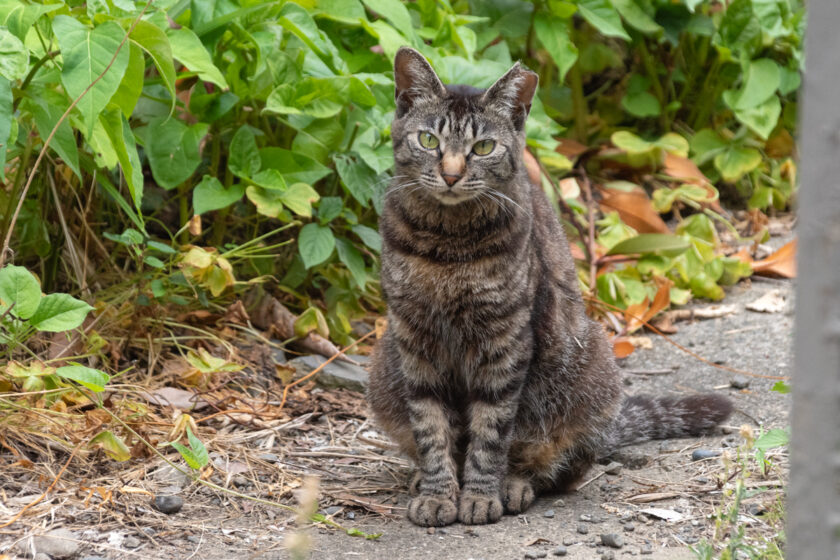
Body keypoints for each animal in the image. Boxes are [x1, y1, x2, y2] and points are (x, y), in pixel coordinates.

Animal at [364, 47, 732, 524]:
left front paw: (479, 495)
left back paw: (515, 485)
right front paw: (438, 493)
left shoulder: (506, 340)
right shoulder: (414, 339)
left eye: (483, 147)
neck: (446, 241)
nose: (450, 174)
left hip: (591, 368)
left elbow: (491, 432)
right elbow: (430, 429)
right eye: (428, 141)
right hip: (382, 368)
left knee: (554, 464)